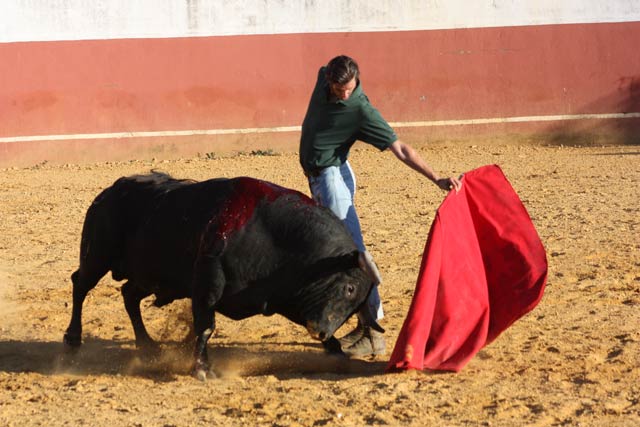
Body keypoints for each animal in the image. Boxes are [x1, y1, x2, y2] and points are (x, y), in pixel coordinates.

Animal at [62, 172, 380, 380]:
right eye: (350, 288)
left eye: (356, 304)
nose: (322, 331)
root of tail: (109, 192)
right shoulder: (208, 283)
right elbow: (205, 327)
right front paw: (203, 369)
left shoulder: (285, 297)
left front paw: (336, 350)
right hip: (97, 256)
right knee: (81, 286)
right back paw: (73, 338)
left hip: (150, 276)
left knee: (129, 295)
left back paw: (147, 344)